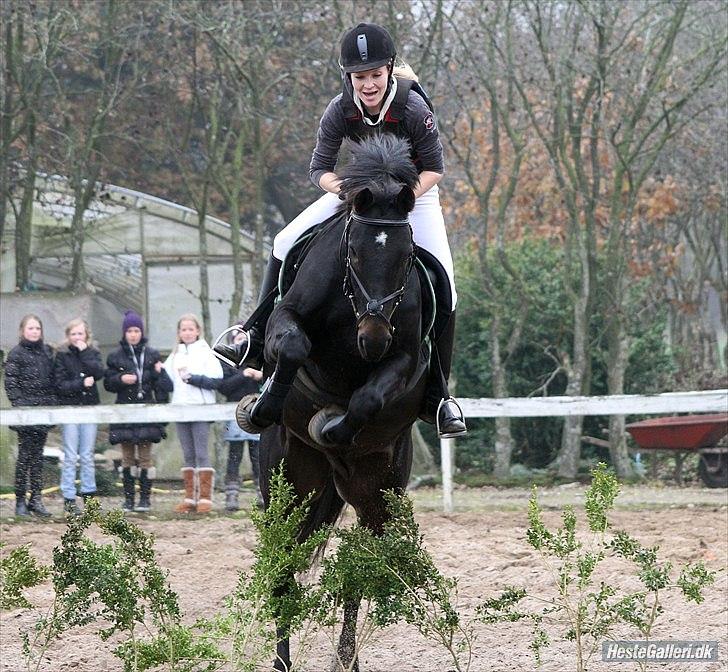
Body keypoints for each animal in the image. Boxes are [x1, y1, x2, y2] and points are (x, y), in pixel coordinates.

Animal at [242, 134, 430, 668]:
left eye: (407, 257)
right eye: (355, 253)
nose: (374, 338)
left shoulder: (404, 359)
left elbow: (367, 399)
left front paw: (335, 427)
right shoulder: (289, 318)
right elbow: (292, 346)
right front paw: (262, 407)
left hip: (374, 493)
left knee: (360, 570)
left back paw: (346, 657)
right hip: (288, 483)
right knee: (284, 566)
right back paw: (283, 660)